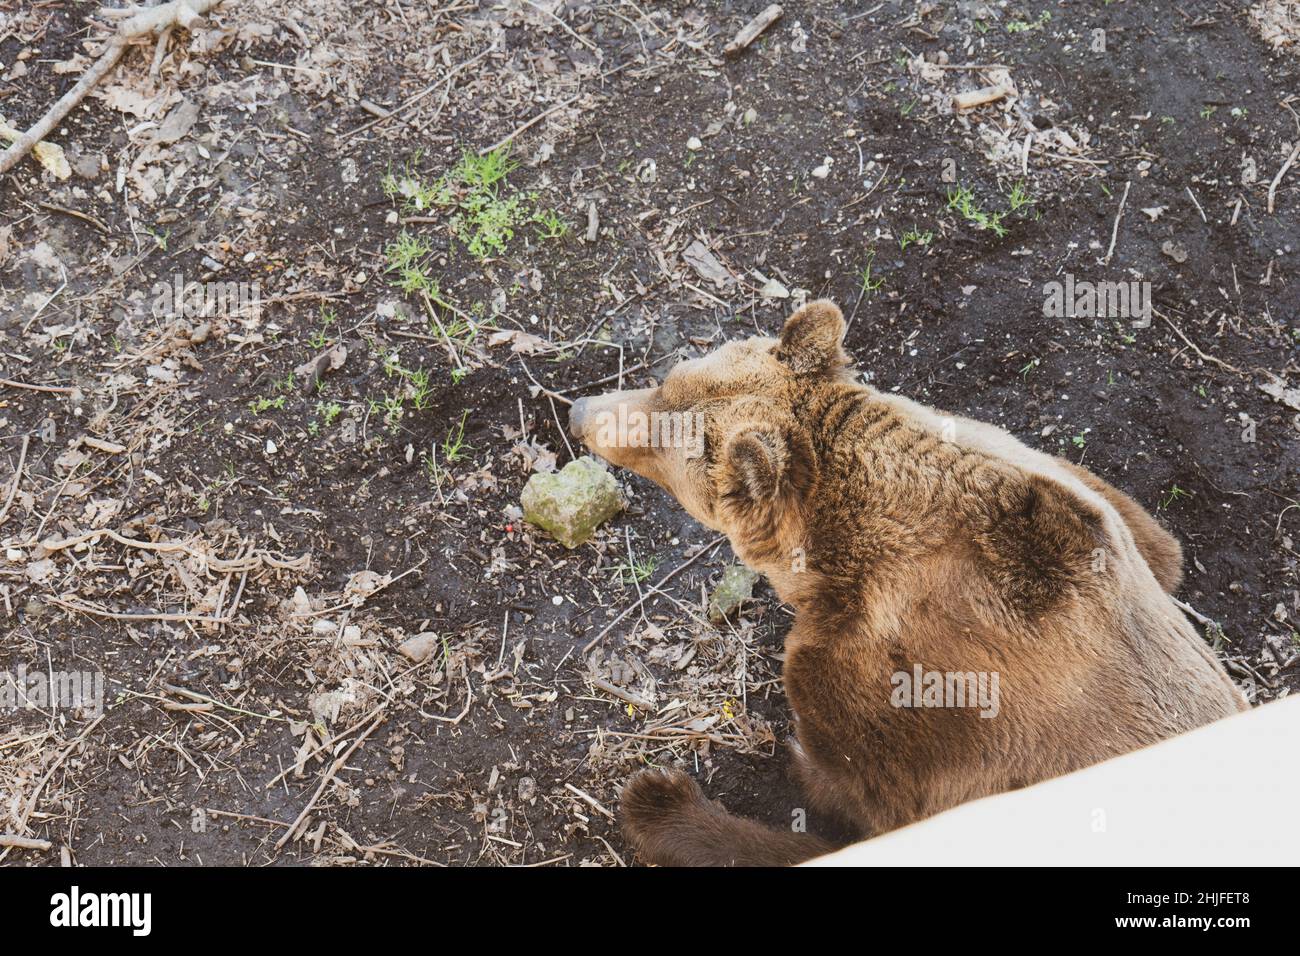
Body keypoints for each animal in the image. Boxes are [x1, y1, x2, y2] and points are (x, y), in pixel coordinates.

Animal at [567, 299, 1248, 867]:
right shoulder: (1078, 496)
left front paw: (659, 796)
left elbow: (866, 802)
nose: (580, 411)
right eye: (668, 377)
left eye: (660, 443)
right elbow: (1162, 549)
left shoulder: (925, 692)